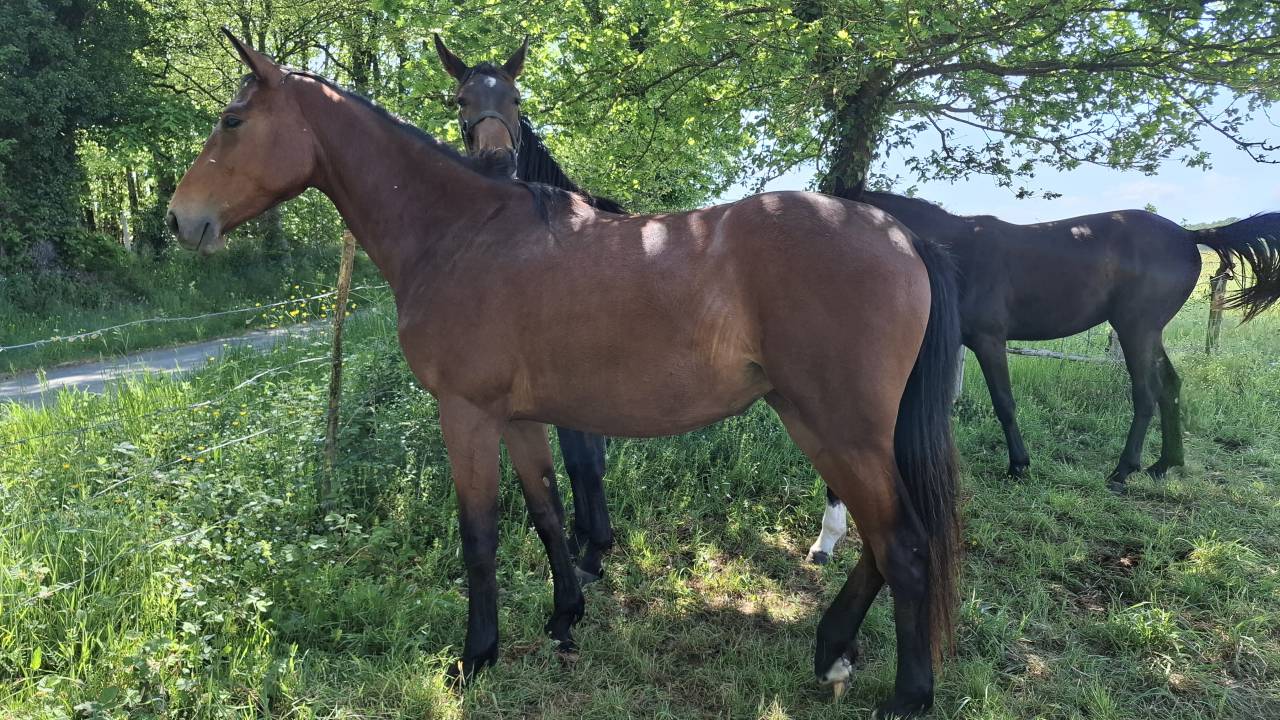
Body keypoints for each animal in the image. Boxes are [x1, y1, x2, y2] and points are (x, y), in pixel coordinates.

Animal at [434, 35, 626, 583]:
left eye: (516, 99)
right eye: (461, 101)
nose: (498, 160)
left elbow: (585, 461)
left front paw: (593, 551)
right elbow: (578, 461)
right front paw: (588, 541)